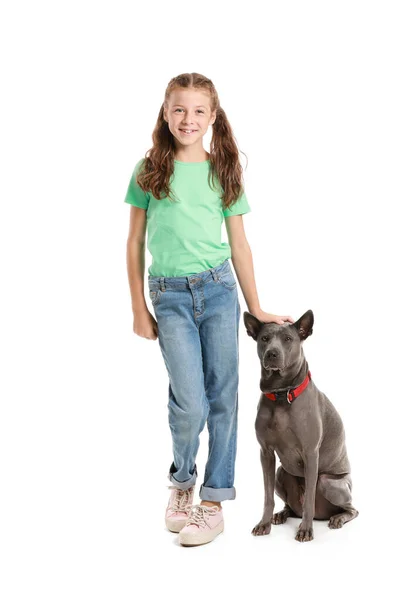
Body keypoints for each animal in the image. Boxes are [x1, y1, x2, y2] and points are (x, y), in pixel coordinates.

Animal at [244, 310, 358, 544]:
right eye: (264, 338)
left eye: (288, 339)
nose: (272, 354)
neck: (281, 395)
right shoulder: (265, 453)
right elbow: (267, 496)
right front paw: (264, 524)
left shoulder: (310, 453)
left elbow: (309, 502)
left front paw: (305, 530)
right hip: (281, 472)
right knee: (291, 504)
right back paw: (281, 514)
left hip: (330, 482)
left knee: (351, 508)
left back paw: (338, 518)